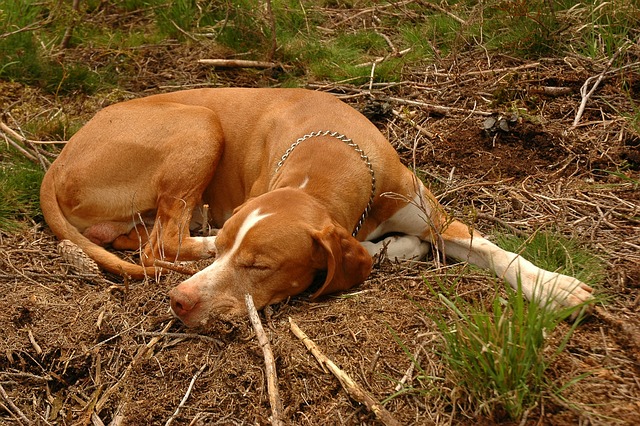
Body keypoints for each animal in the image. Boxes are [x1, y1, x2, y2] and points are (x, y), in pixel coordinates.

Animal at [38, 86, 596, 326]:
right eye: (232, 255)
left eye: (260, 265)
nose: (179, 301)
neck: (328, 154)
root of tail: (57, 160)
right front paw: (395, 251)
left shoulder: (438, 219)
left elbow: (499, 253)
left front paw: (556, 287)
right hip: (199, 123)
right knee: (161, 246)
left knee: (140, 239)